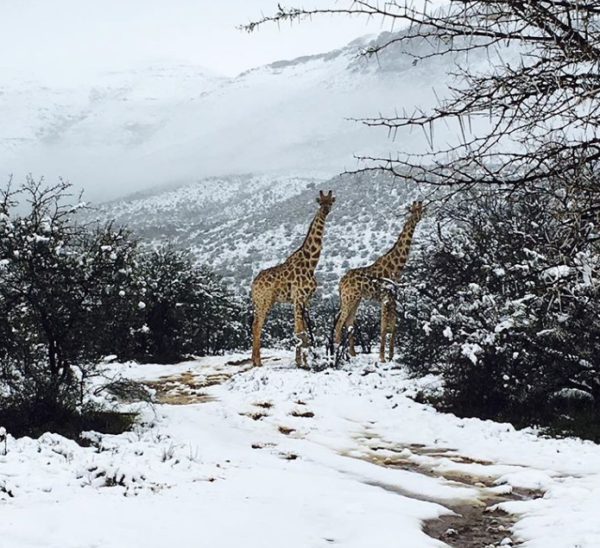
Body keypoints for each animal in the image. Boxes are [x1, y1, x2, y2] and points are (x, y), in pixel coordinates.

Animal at [251, 191, 336, 366]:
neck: (311, 264)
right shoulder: (298, 298)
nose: (325, 211)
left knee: (255, 324)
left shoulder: (307, 299)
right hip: (264, 300)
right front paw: (300, 362)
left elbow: (305, 331)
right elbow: (299, 330)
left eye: (330, 202)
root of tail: (253, 284)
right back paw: (258, 361)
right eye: (320, 202)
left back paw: (253, 359)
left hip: (262, 301)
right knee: (257, 325)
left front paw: (306, 361)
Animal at [332, 200, 422, 360]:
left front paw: (390, 356)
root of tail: (340, 282)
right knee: (339, 323)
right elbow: (383, 327)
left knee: (348, 323)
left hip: (356, 299)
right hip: (349, 298)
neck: (395, 266)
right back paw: (337, 354)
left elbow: (393, 326)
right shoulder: (385, 298)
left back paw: (353, 354)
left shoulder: (392, 298)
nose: (418, 217)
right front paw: (382, 357)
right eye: (412, 210)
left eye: (421, 209)